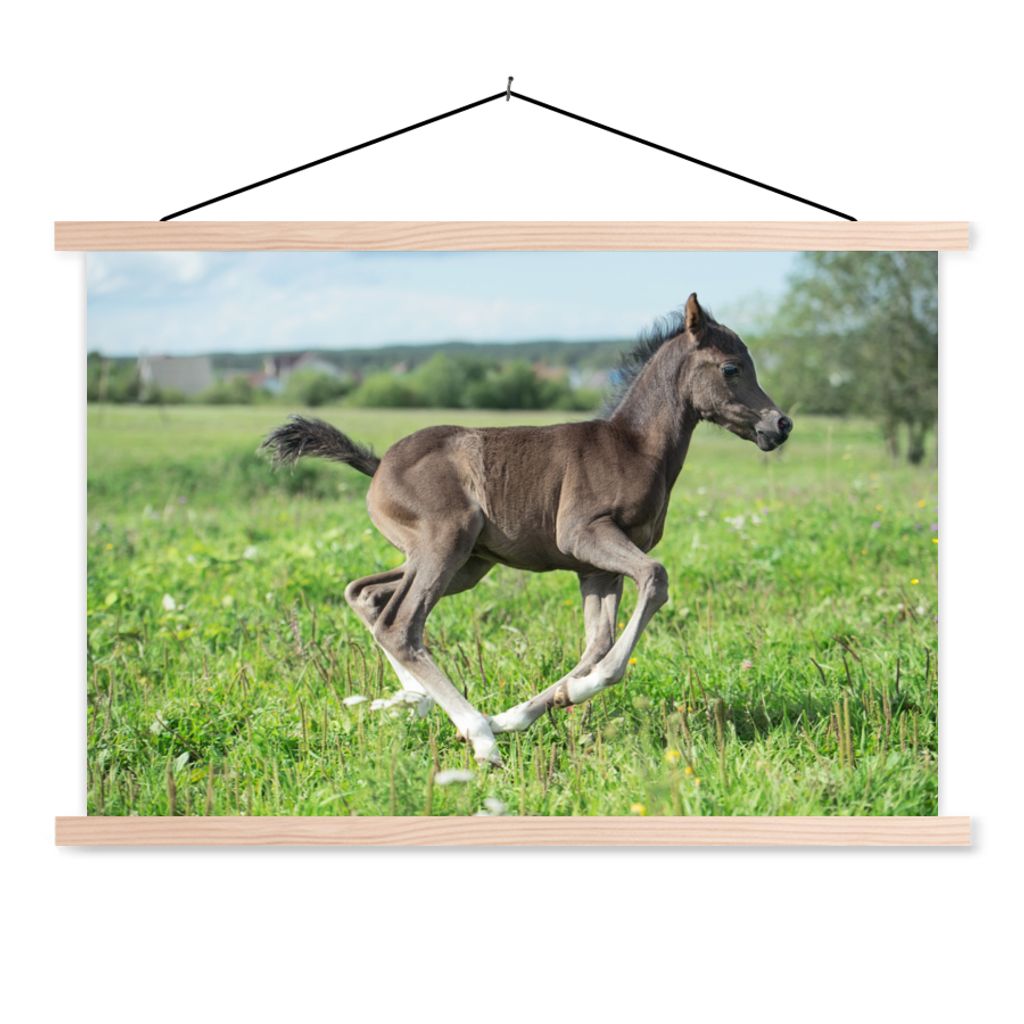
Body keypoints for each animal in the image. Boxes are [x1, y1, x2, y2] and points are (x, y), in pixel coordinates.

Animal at [262, 293, 792, 767]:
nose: (780, 424)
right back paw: (477, 736)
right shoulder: (584, 535)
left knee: (368, 596)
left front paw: (523, 712)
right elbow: (654, 581)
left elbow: (598, 641)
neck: (635, 447)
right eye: (731, 368)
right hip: (446, 542)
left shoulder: (595, 568)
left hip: (464, 563)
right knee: (400, 624)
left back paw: (422, 704)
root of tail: (377, 467)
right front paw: (556, 699)